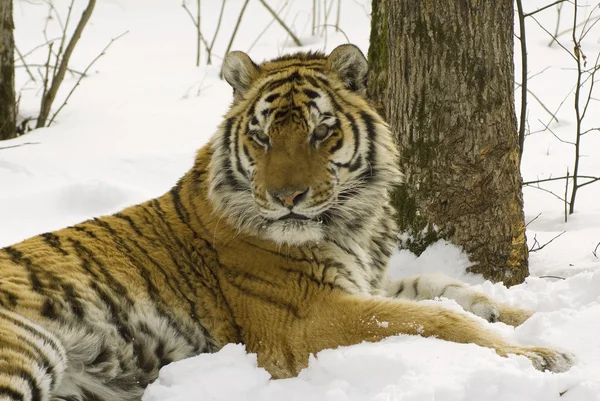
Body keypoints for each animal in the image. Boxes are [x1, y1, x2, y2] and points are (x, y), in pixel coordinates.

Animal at [0, 44, 572, 400]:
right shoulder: (306, 317)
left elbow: (444, 287)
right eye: (262, 136)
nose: (287, 197)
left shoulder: (363, 280)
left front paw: (523, 318)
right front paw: (543, 356)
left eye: (321, 132)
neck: (355, 222)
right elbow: (436, 319)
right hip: (26, 349)